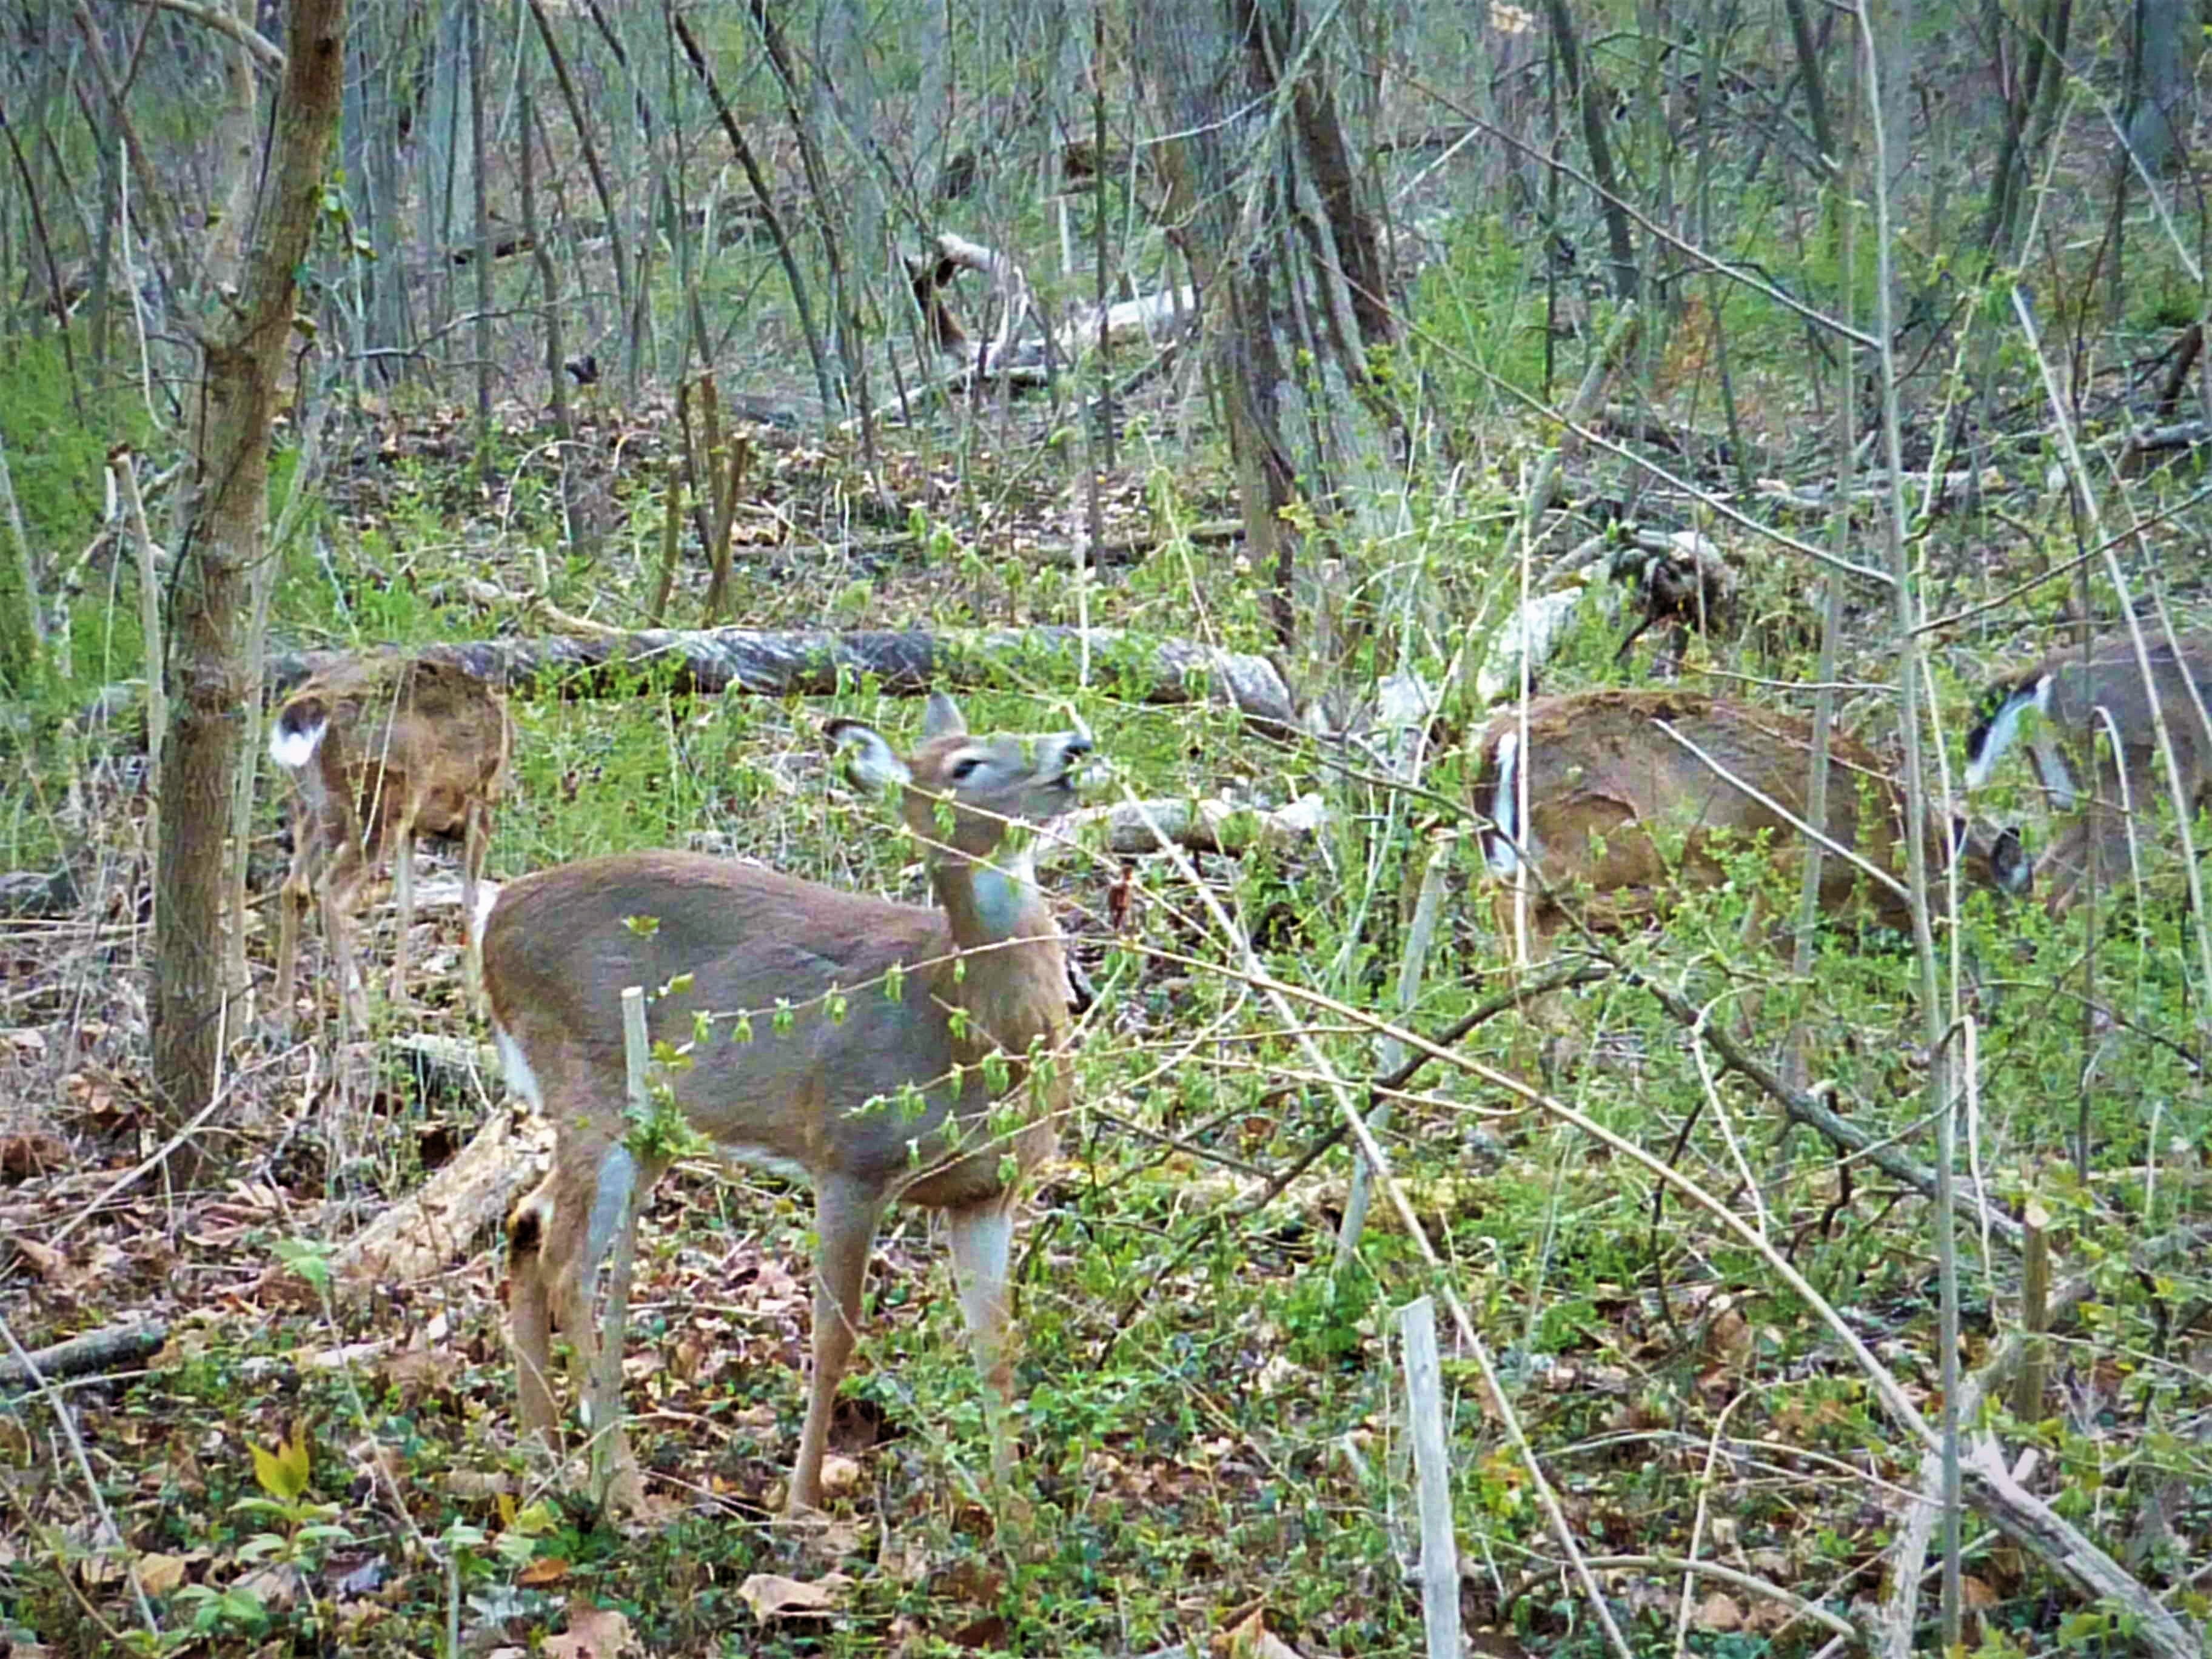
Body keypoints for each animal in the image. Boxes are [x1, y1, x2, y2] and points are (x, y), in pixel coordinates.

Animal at [268, 654, 513, 1027]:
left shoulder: (414, 828)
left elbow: (406, 903)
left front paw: (400, 999)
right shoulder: (480, 803)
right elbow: (469, 901)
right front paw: (477, 1005)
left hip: (317, 808)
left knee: (294, 889)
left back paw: (282, 1012)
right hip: (382, 798)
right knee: (331, 893)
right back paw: (359, 1013)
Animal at [485, 692, 1090, 1515]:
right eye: (965, 765)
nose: (1074, 747)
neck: (959, 1029)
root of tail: (490, 921)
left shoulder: (988, 1191)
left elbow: (996, 1349)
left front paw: (1016, 1519)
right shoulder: (848, 1156)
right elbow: (834, 1338)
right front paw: (801, 1504)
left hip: (632, 1122)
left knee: (527, 1218)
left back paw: (542, 1455)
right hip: (593, 1084)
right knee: (568, 1262)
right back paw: (624, 1489)